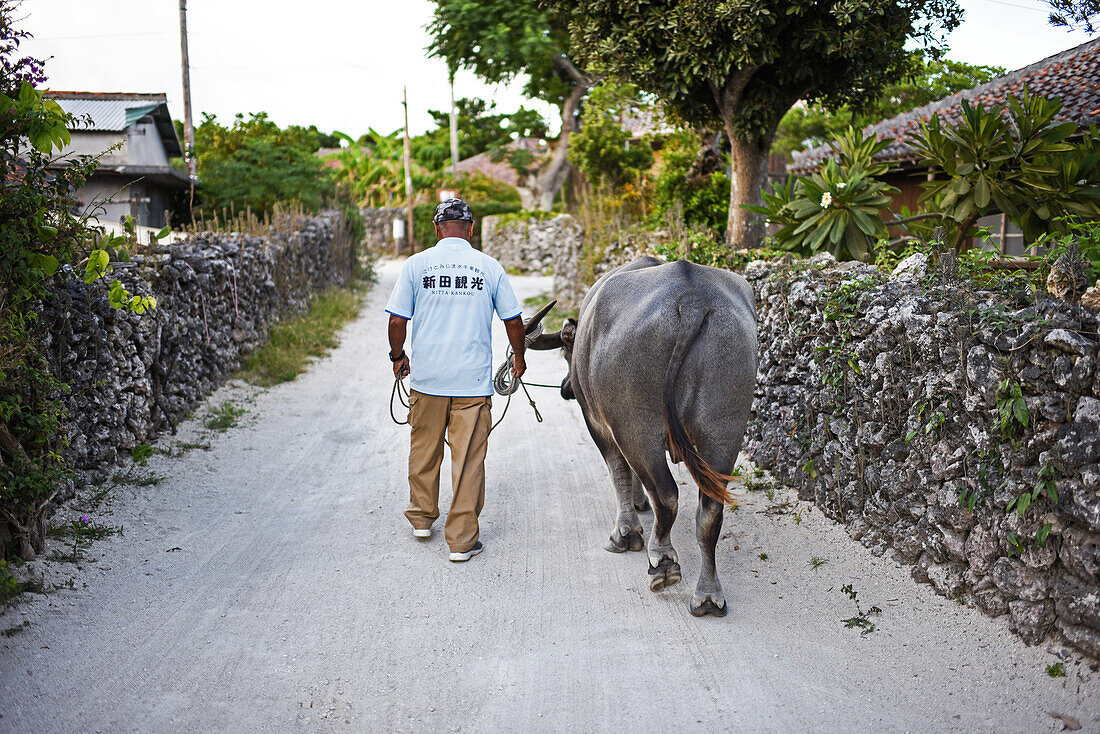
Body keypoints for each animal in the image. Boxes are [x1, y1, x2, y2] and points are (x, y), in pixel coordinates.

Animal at [530, 255, 756, 616]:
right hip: (724, 429)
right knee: (710, 509)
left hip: (637, 425)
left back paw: (662, 563)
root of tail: (692, 298)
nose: (566, 389)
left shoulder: (599, 424)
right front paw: (638, 502)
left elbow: (619, 472)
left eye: (566, 351)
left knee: (666, 495)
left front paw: (625, 532)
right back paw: (708, 595)